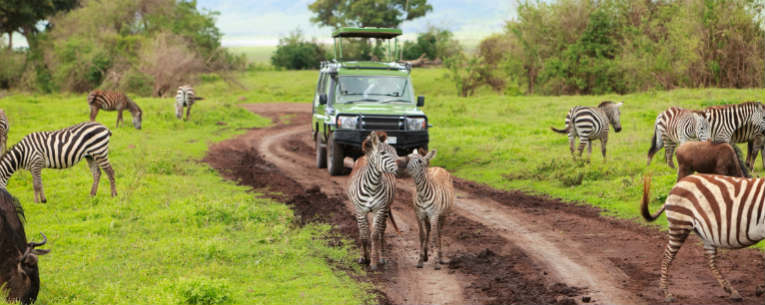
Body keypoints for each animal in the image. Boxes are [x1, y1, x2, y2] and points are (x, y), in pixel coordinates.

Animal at [346, 132, 400, 270]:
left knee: (381, 230)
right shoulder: (360, 211)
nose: (401, 165)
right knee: (363, 231)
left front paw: (373, 262)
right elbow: (364, 235)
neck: (372, 185)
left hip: (386, 208)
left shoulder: (379, 209)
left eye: (396, 152)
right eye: (383, 153)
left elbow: (375, 235)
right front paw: (364, 257)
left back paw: (382, 257)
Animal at [640, 173, 764, 302]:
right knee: (667, 257)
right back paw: (666, 293)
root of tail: (679, 183)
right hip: (679, 224)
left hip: (706, 234)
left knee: (710, 261)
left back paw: (732, 291)